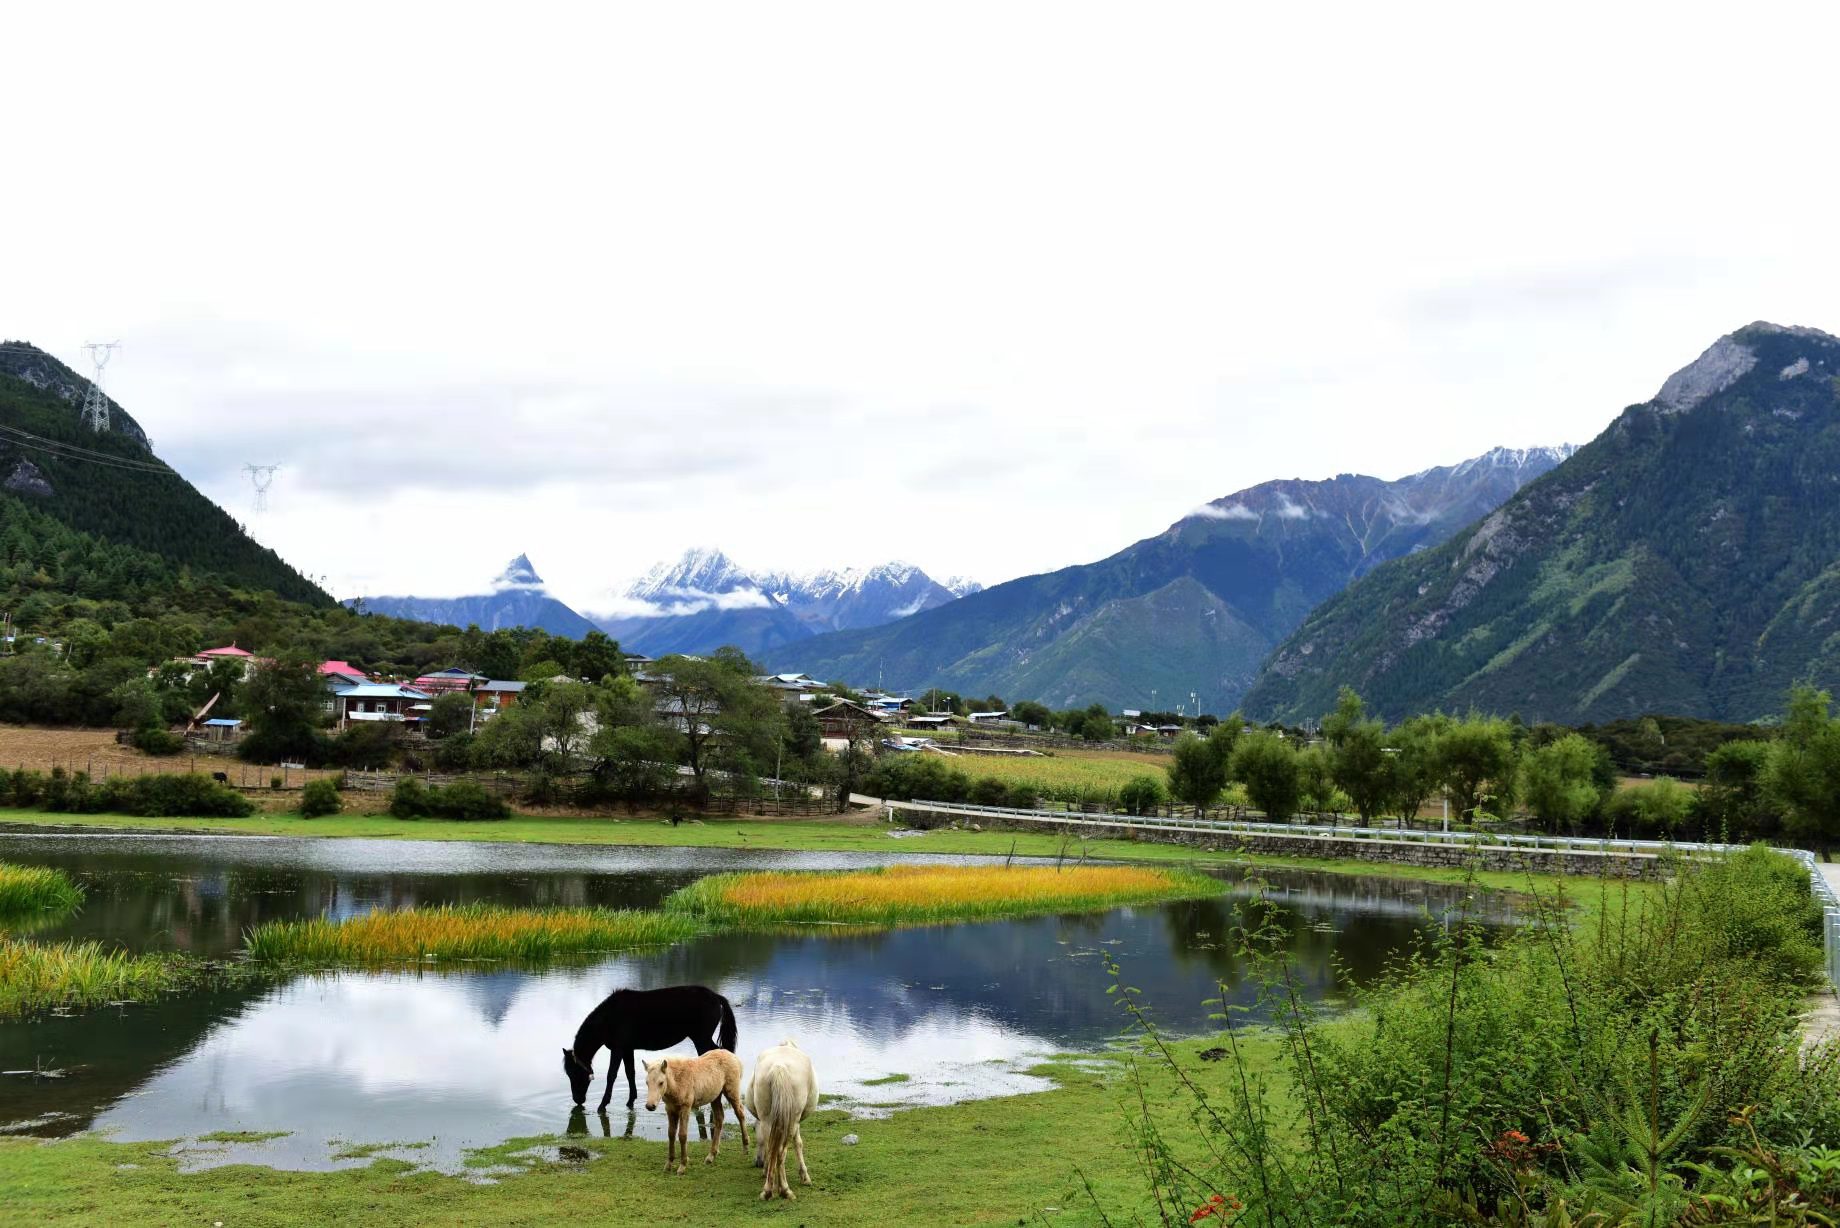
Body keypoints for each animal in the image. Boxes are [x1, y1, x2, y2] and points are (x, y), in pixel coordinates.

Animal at [563, 986, 736, 1112]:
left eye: (574, 1073)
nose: (578, 1100)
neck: (609, 1017)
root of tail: (716, 996)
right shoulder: (627, 1049)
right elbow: (630, 1073)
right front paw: (630, 1101)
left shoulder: (618, 1049)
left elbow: (611, 1075)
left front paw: (602, 1105)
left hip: (701, 1038)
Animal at [747, 1038, 820, 1200]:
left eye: (754, 1129)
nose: (758, 1163)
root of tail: (779, 1067)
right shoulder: (796, 1122)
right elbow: (798, 1144)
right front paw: (804, 1177)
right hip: (792, 1120)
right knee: (781, 1151)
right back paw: (784, 1190)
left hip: (767, 1119)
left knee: (772, 1146)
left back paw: (768, 1189)